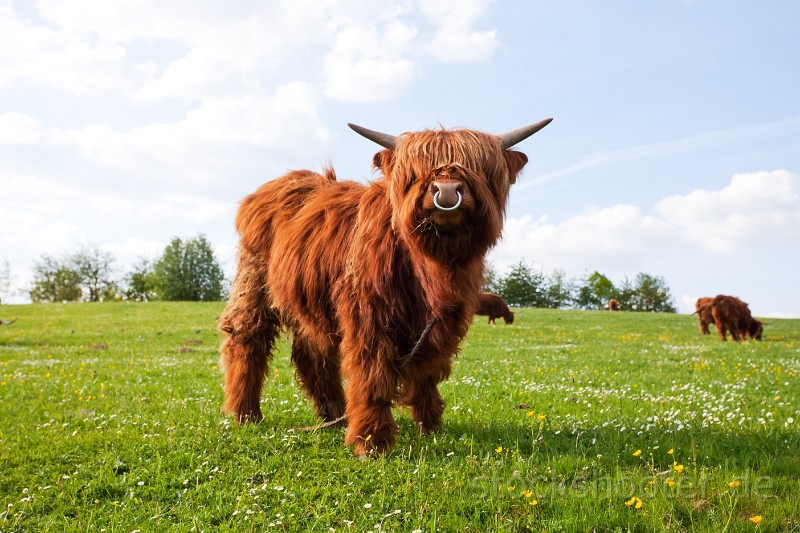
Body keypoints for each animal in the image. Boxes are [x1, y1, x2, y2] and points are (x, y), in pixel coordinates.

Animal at [218, 118, 552, 456]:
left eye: (477, 167)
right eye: (416, 170)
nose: (446, 192)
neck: (431, 268)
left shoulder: (443, 322)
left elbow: (427, 372)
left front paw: (430, 425)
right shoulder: (368, 314)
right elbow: (372, 374)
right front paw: (371, 441)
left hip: (308, 299)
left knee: (311, 354)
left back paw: (333, 414)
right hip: (254, 282)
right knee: (247, 338)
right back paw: (246, 413)